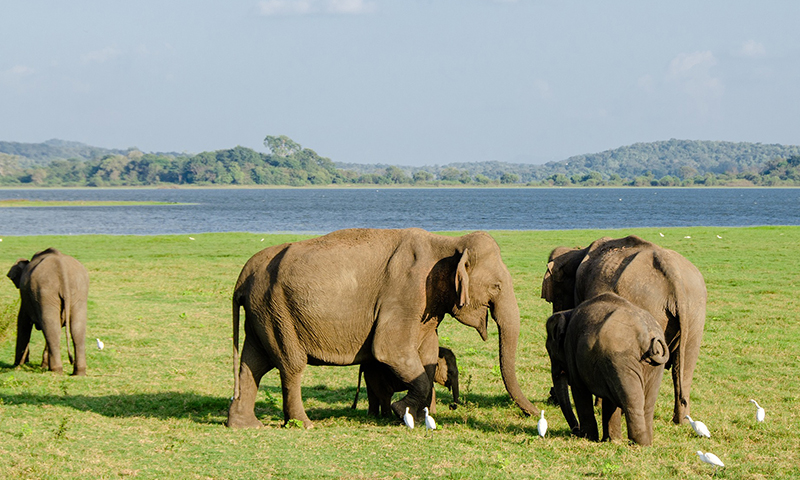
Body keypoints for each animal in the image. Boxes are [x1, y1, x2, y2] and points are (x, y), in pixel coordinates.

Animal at [6, 248, 89, 376]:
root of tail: (62, 269)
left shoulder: (26, 300)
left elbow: (23, 323)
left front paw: (18, 365)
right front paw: (42, 366)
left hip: (45, 292)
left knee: (52, 329)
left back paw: (56, 370)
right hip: (79, 292)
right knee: (75, 330)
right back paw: (78, 372)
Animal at [227, 227, 536, 430]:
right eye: (496, 286)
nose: (534, 413)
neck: (447, 243)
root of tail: (242, 277)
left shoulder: (427, 305)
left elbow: (426, 354)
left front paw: (417, 416)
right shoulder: (405, 292)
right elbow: (389, 350)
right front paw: (402, 412)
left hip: (262, 313)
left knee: (253, 363)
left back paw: (244, 425)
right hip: (277, 311)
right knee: (290, 365)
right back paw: (304, 424)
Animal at [536, 236, 708, 424]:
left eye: (554, 298)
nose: (551, 398)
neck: (577, 251)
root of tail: (673, 273)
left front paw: (599, 405)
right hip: (695, 311)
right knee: (684, 367)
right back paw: (681, 420)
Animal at [548, 292, 672, 446]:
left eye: (549, 350)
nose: (575, 431)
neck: (568, 312)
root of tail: (646, 334)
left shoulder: (571, 349)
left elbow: (580, 390)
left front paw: (588, 437)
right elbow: (610, 400)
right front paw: (611, 440)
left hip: (621, 360)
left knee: (632, 400)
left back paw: (637, 443)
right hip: (652, 367)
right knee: (647, 403)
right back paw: (646, 443)